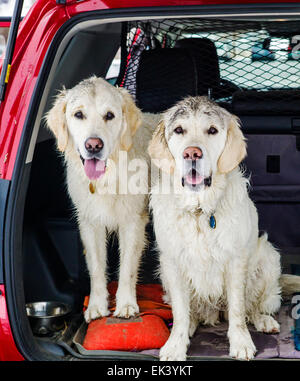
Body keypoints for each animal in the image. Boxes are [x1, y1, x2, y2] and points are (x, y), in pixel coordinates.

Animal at [46, 76, 159, 320]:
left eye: (109, 115)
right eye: (79, 114)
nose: (93, 145)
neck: (107, 177)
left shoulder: (132, 221)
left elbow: (127, 268)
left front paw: (126, 304)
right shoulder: (90, 222)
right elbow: (97, 268)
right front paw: (97, 306)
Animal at [149, 95, 300, 360]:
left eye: (212, 130)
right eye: (179, 130)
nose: (192, 153)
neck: (200, 211)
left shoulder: (236, 260)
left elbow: (238, 310)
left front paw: (241, 342)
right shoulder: (172, 262)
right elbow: (180, 311)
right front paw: (176, 343)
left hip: (268, 257)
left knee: (252, 307)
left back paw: (263, 320)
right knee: (193, 311)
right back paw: (192, 324)